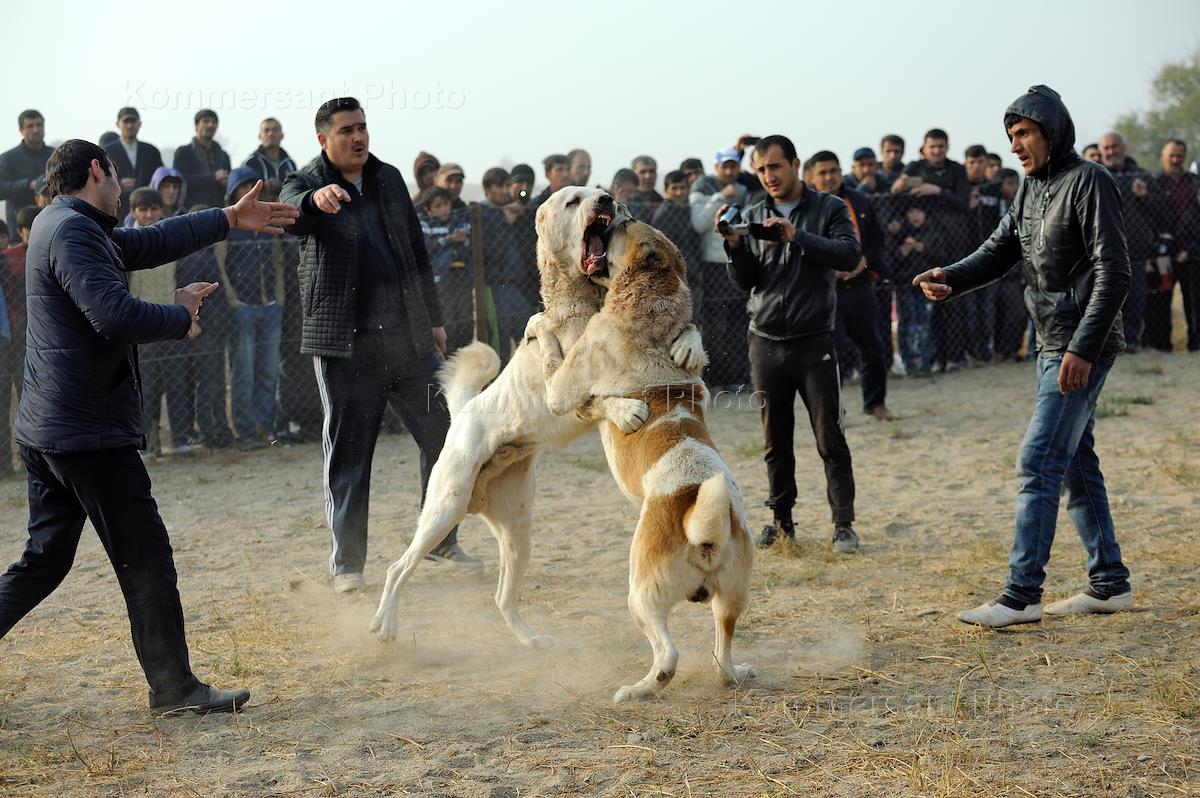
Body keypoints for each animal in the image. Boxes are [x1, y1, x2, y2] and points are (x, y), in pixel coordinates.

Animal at [367, 188, 700, 648]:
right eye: (574, 200)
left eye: (598, 192)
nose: (607, 198)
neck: (587, 302)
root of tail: (464, 411)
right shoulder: (564, 390)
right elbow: (593, 397)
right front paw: (627, 409)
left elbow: (687, 331)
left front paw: (688, 347)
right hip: (444, 510)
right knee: (398, 567)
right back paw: (384, 625)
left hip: (518, 532)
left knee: (502, 597)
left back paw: (530, 640)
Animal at [530, 220, 753, 700]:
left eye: (625, 228)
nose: (616, 212)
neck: (650, 309)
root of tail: (704, 531)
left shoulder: (560, 386)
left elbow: (552, 355)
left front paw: (538, 326)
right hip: (730, 601)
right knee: (721, 657)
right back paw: (737, 672)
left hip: (640, 596)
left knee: (667, 653)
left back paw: (640, 689)